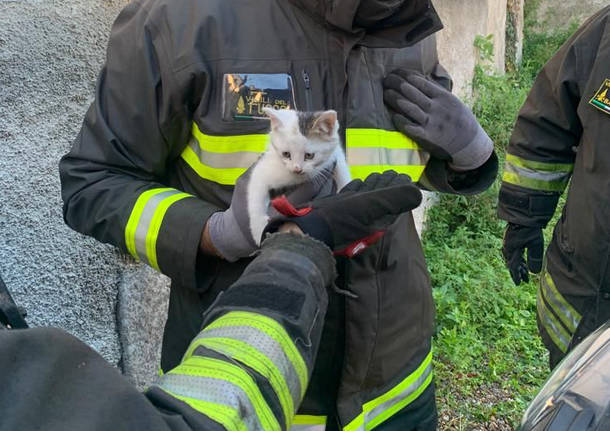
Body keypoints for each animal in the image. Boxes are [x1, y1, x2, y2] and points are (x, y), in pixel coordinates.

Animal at [247, 107, 352, 245]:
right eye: (286, 154)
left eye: (309, 155)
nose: (297, 169)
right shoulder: (263, 169)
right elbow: (256, 196)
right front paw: (259, 230)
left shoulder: (335, 154)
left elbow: (342, 172)